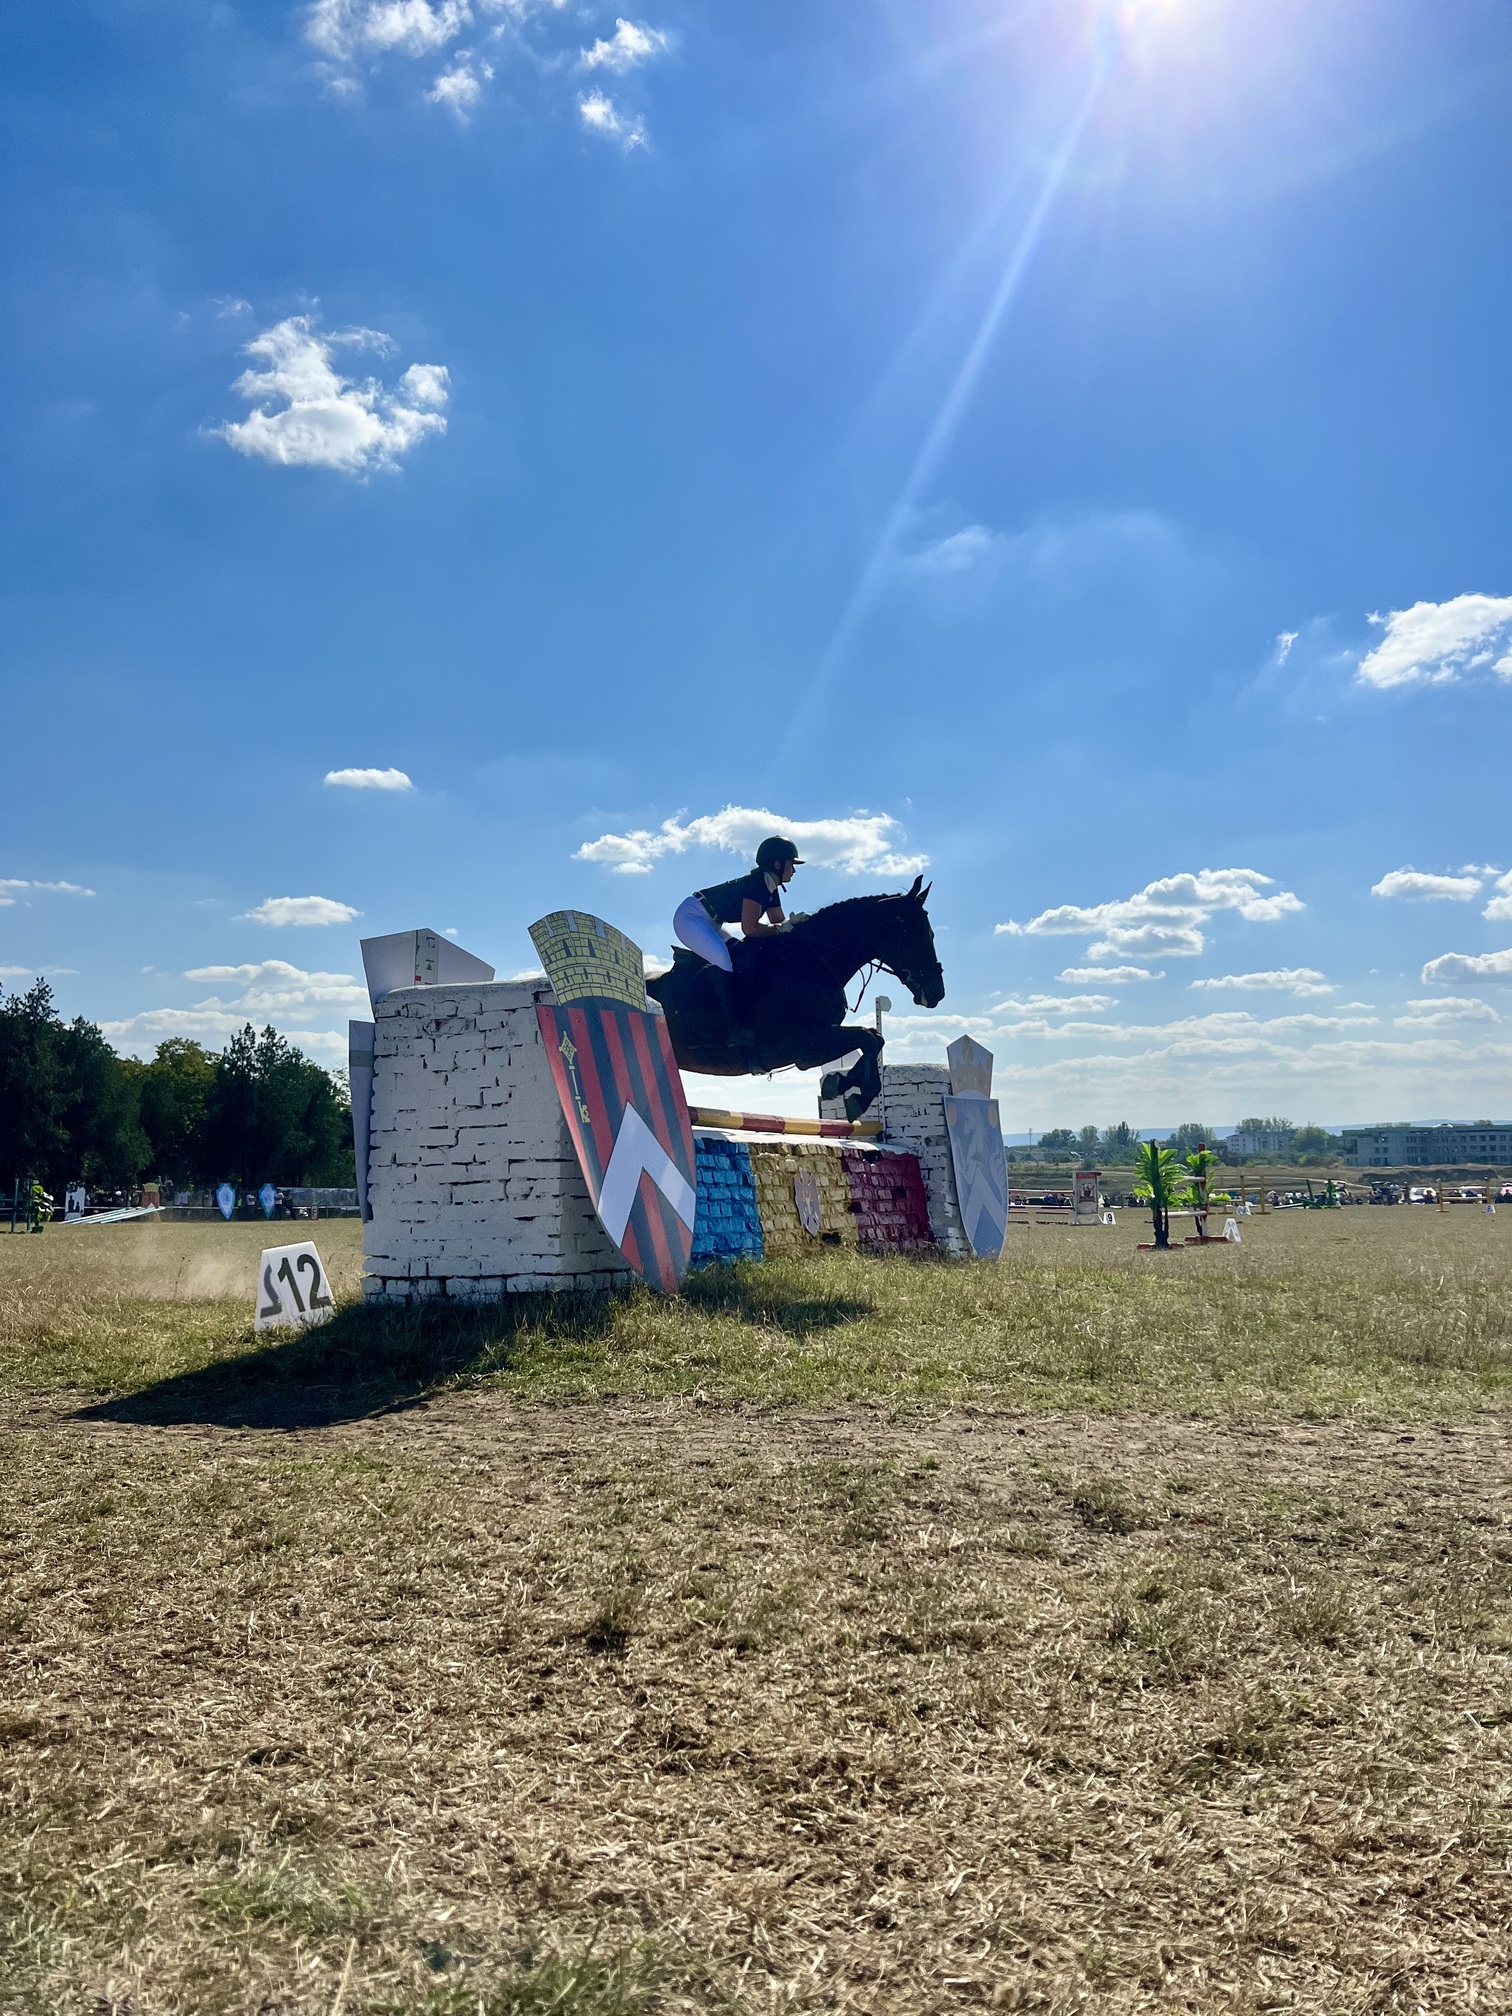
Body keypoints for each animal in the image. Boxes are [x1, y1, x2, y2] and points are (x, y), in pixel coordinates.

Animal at [649, 870, 947, 1120]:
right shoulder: (792, 1042)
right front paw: (858, 1097)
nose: (936, 993)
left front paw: (839, 1084)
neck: (814, 960)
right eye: (911, 931)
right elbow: (867, 1037)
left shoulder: (808, 1052)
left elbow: (874, 1038)